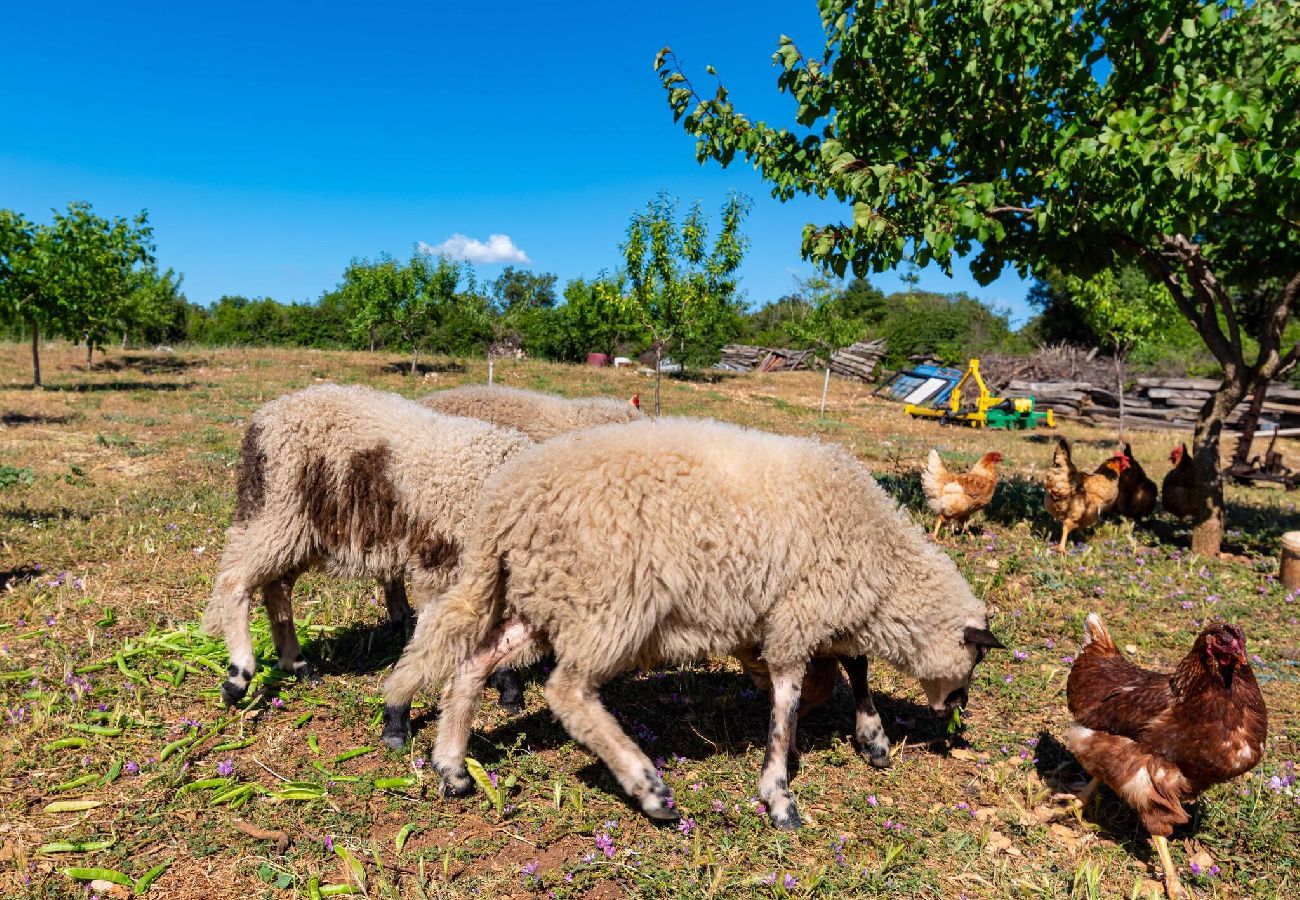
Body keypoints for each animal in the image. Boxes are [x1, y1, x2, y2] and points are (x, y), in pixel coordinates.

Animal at [198, 382, 533, 707]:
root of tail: (265, 416)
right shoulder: (441, 561)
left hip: (301, 531)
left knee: (276, 588)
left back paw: (297, 664)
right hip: (279, 510)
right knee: (234, 580)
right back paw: (238, 676)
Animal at [379, 418, 998, 827]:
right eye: (975, 660)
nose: (957, 710)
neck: (885, 564)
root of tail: (503, 504)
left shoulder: (816, 611)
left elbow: (846, 670)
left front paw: (866, 737)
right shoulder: (802, 613)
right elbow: (796, 698)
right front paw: (779, 791)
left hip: (551, 595)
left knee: (474, 661)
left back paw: (452, 766)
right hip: (609, 599)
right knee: (566, 691)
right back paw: (647, 787)